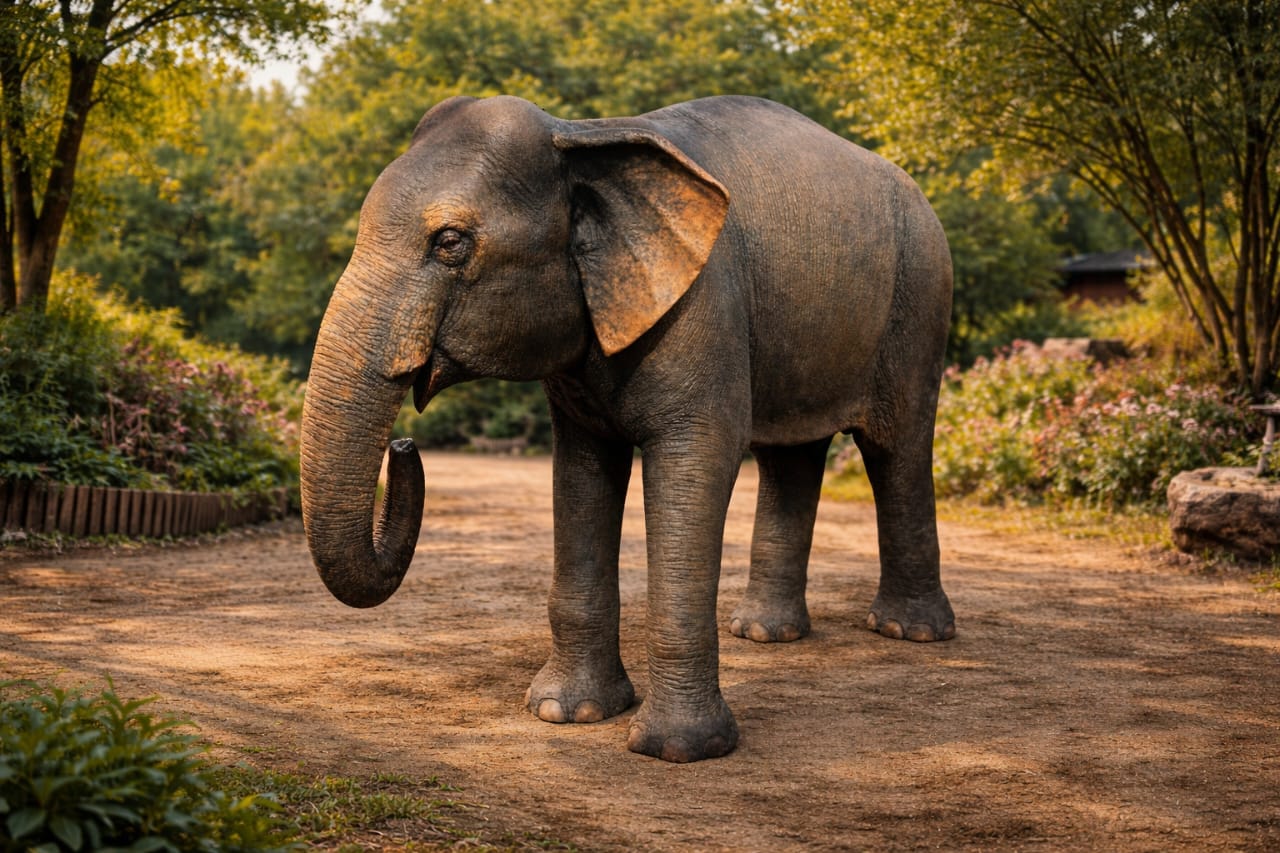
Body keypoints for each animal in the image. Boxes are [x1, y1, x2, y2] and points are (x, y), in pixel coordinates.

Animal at [299, 94, 955, 764]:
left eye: (451, 242)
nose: (404, 445)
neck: (581, 136)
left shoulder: (703, 306)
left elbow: (699, 458)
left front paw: (678, 750)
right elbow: (582, 470)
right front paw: (566, 713)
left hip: (921, 297)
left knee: (897, 448)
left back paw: (909, 632)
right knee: (791, 457)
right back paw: (764, 634)